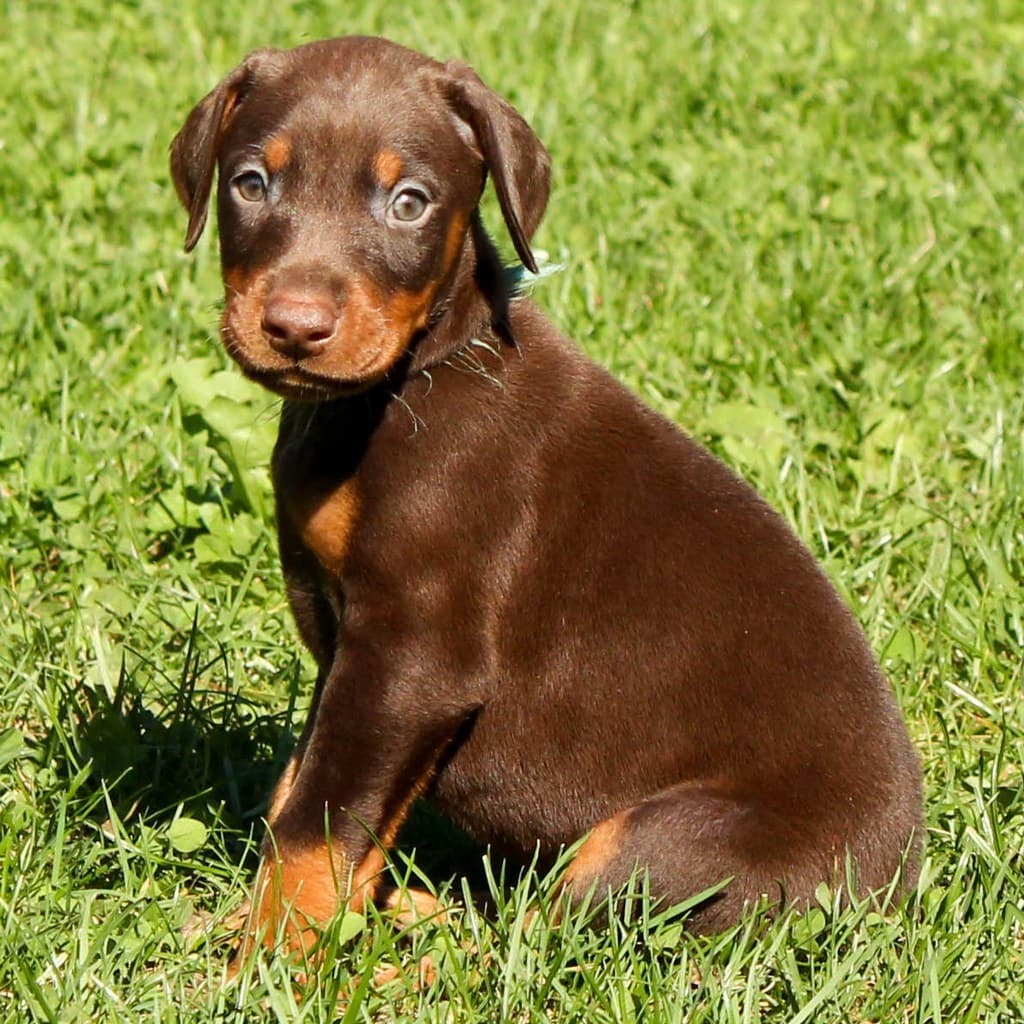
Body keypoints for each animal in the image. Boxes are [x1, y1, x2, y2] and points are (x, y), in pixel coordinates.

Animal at [172, 37, 925, 950]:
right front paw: (272, 923)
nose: (294, 326)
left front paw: (273, 951)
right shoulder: (351, 646)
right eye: (252, 183)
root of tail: (891, 895)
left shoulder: (415, 656)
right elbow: (311, 786)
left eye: (409, 203)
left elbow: (320, 820)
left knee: (536, 942)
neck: (413, 379)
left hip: (664, 843)